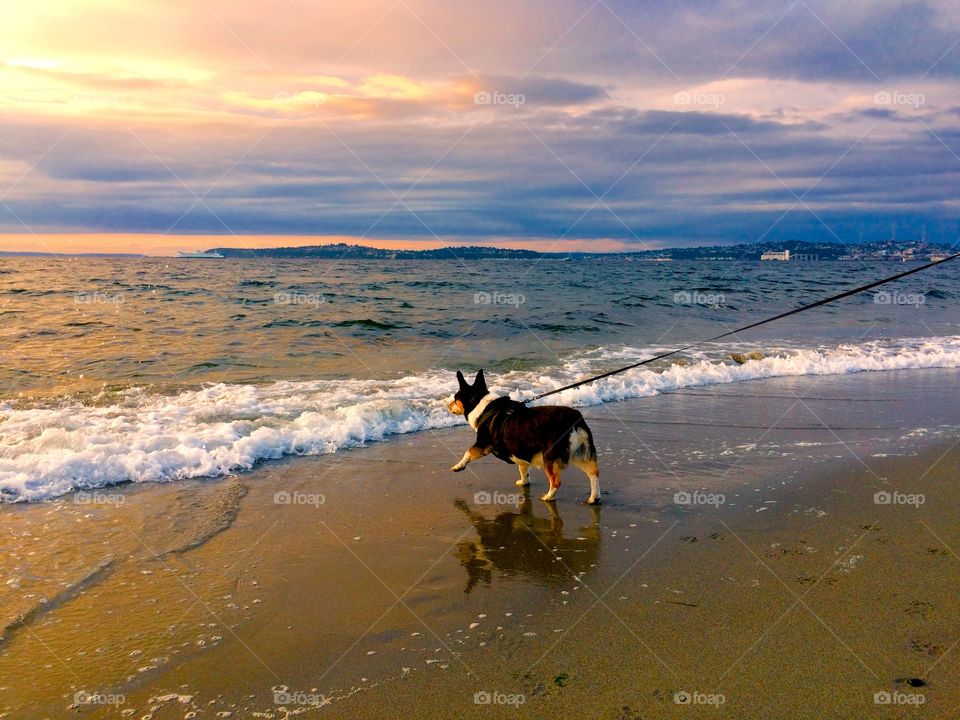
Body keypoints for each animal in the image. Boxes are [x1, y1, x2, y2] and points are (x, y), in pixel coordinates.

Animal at [448, 372, 600, 506]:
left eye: (455, 398)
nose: (448, 405)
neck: (482, 406)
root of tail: (575, 420)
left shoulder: (482, 444)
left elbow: (467, 452)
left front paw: (458, 466)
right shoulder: (520, 451)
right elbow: (523, 469)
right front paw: (523, 482)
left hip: (549, 457)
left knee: (556, 481)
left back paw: (548, 497)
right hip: (582, 454)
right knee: (594, 474)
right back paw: (594, 498)